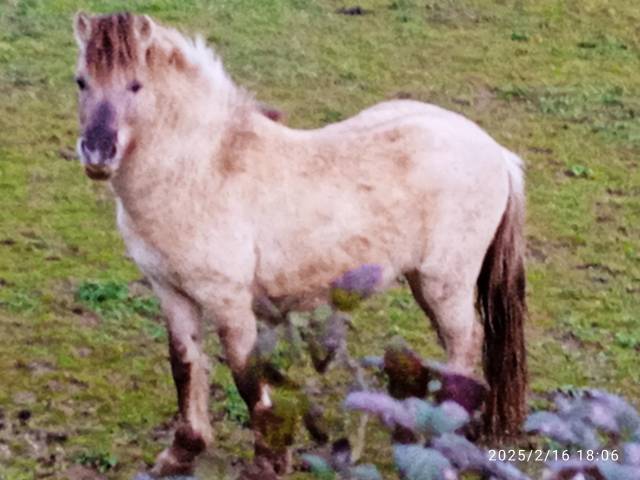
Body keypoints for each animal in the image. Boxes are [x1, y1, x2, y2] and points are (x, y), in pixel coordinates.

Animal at [72, 11, 527, 476]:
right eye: (81, 82)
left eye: (136, 85)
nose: (97, 152)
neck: (202, 170)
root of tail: (497, 153)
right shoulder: (171, 292)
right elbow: (185, 366)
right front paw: (181, 453)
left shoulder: (228, 300)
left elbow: (246, 377)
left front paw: (268, 462)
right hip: (423, 281)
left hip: (445, 283)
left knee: (465, 342)